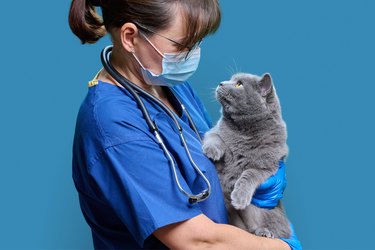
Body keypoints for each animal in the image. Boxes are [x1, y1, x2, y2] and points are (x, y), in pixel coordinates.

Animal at [204, 72, 292, 238]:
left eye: (239, 84)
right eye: (231, 79)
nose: (221, 83)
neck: (243, 131)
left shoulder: (267, 166)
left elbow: (249, 174)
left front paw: (239, 197)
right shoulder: (215, 130)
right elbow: (215, 137)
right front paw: (212, 151)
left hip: (272, 215)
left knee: (278, 231)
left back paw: (265, 232)